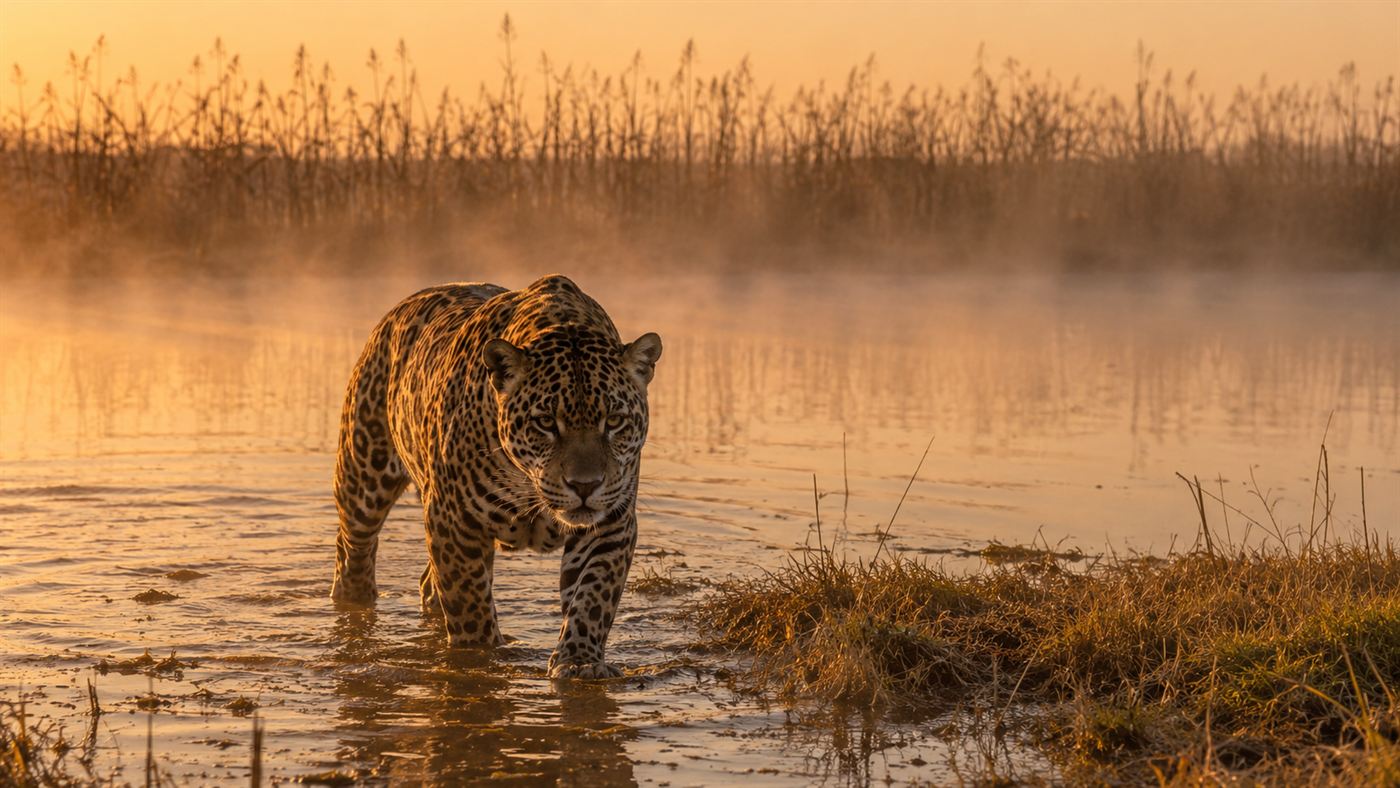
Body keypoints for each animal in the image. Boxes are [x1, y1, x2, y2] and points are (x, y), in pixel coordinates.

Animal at [329, 274, 662, 679]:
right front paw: (479, 661)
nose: (584, 485)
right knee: (353, 548)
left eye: (613, 421)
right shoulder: (454, 518)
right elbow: (468, 602)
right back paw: (356, 611)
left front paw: (579, 661)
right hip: (363, 473)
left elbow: (593, 596)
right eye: (545, 422)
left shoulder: (610, 522)